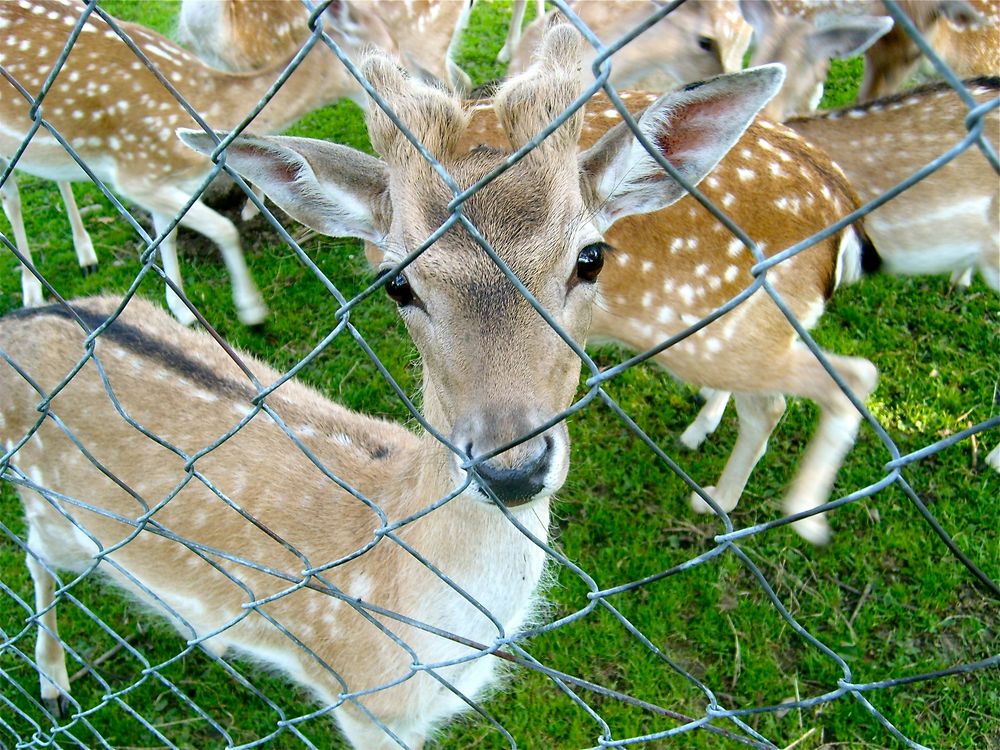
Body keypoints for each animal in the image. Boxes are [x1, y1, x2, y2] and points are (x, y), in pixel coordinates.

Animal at [0, 0, 394, 326]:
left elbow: (167, 235)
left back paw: (86, 255)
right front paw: (251, 310)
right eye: (378, 57)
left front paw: (180, 308)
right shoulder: (136, 173)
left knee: (53, 176)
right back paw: (32, 291)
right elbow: (224, 227)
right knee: (12, 195)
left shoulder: (165, 181)